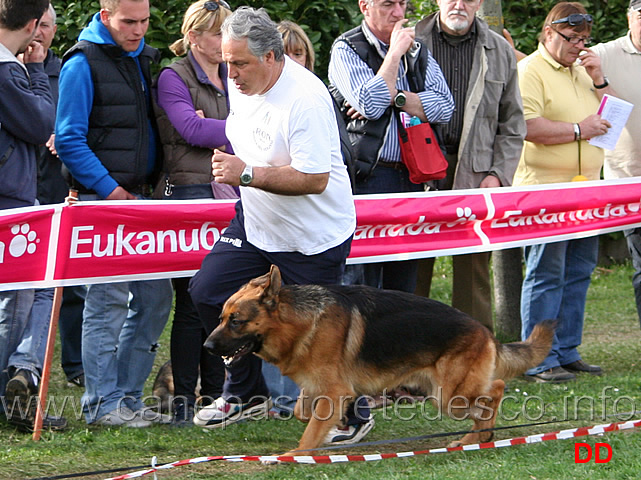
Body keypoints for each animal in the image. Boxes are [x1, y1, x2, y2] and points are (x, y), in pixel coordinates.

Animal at [205, 266, 556, 458]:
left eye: (236, 321)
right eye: (221, 318)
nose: (207, 346)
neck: (300, 322)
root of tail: (484, 331)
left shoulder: (335, 389)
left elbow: (310, 427)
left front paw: (296, 455)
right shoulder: (320, 388)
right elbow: (304, 413)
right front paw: (336, 428)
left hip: (449, 396)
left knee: (495, 389)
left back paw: (481, 435)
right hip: (440, 394)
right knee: (487, 398)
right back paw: (475, 439)